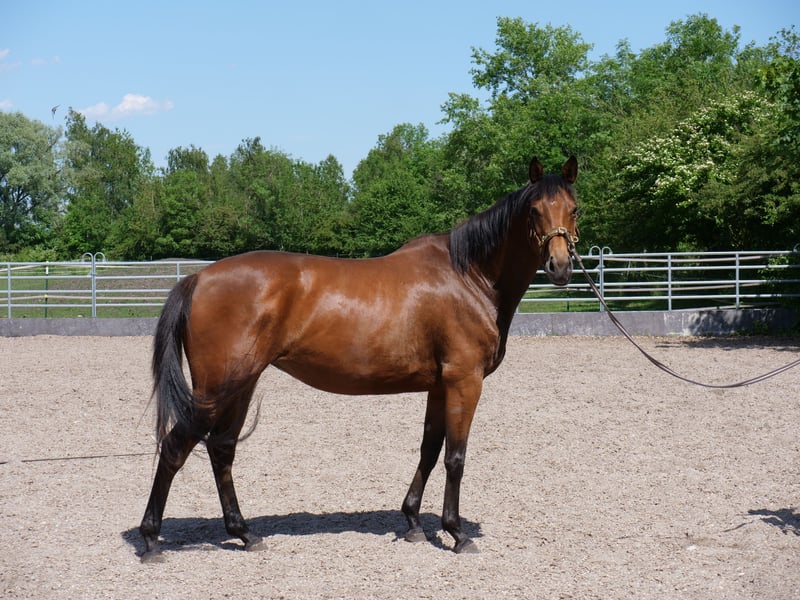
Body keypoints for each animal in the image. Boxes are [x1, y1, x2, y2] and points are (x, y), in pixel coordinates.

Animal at [139, 156, 580, 562]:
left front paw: (413, 522)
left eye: (573, 208)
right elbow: (455, 457)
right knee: (177, 447)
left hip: (240, 385)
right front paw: (456, 532)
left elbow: (429, 449)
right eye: (534, 210)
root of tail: (198, 278)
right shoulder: (464, 381)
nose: (560, 266)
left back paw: (244, 533)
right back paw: (151, 539)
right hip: (216, 388)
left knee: (222, 449)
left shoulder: (439, 386)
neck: (468, 276)